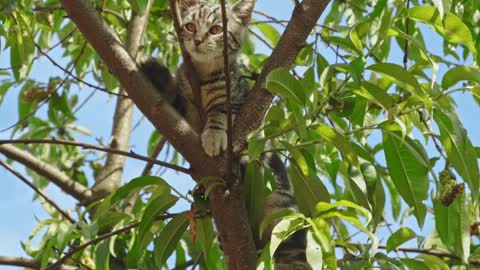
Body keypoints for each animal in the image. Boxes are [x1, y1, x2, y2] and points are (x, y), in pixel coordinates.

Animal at [139, 0, 312, 268]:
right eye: (190, 26)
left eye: (216, 30)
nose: (198, 40)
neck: (202, 77)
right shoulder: (185, 107)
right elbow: (175, 97)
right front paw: (156, 72)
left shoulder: (238, 100)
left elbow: (220, 111)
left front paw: (213, 134)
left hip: (281, 210)